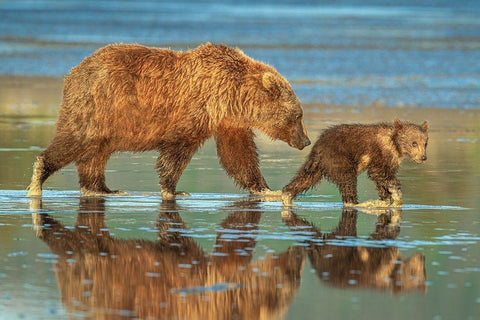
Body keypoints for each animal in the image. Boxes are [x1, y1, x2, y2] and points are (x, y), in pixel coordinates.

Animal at [27, 42, 312, 198]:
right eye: (298, 115)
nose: (306, 141)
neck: (232, 96)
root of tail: (73, 71)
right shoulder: (195, 110)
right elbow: (177, 151)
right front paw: (173, 189)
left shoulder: (229, 123)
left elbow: (238, 155)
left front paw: (267, 189)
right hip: (99, 105)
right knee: (78, 140)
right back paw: (38, 178)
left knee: (96, 153)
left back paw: (102, 188)